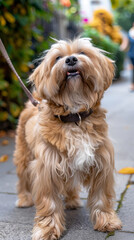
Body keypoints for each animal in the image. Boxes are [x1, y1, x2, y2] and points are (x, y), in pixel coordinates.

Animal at [13, 38, 121, 240]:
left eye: (82, 53)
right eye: (57, 58)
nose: (70, 59)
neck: (74, 117)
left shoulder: (102, 165)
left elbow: (101, 197)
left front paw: (107, 220)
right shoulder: (47, 170)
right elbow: (49, 203)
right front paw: (47, 229)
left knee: (70, 185)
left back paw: (72, 201)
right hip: (23, 156)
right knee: (23, 179)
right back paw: (24, 199)